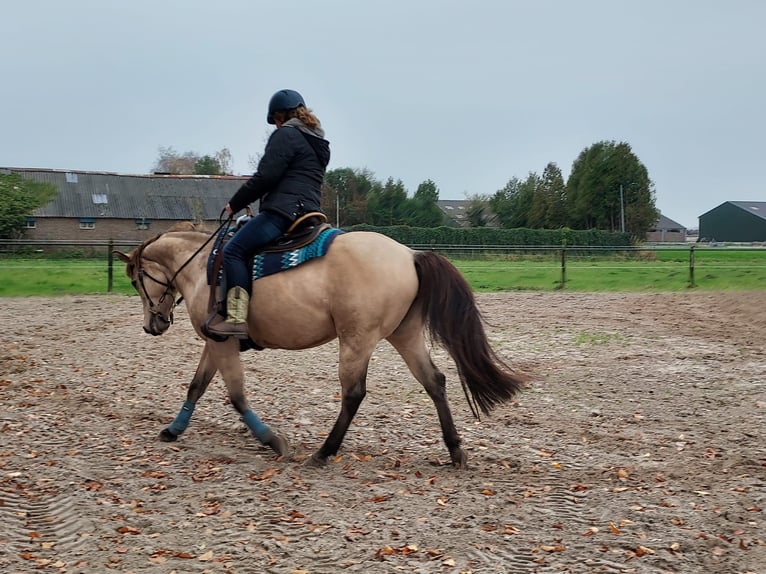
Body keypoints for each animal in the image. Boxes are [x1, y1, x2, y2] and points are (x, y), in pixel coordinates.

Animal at [115, 222, 526, 468]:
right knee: (434, 381)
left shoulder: (222, 344)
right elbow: (197, 385)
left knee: (354, 393)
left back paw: (325, 451)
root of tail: (409, 254)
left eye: (136, 280)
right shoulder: (216, 342)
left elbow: (235, 395)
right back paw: (455, 451)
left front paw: (272, 440)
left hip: (357, 341)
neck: (203, 268)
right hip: (404, 335)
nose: (152, 325)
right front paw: (173, 430)